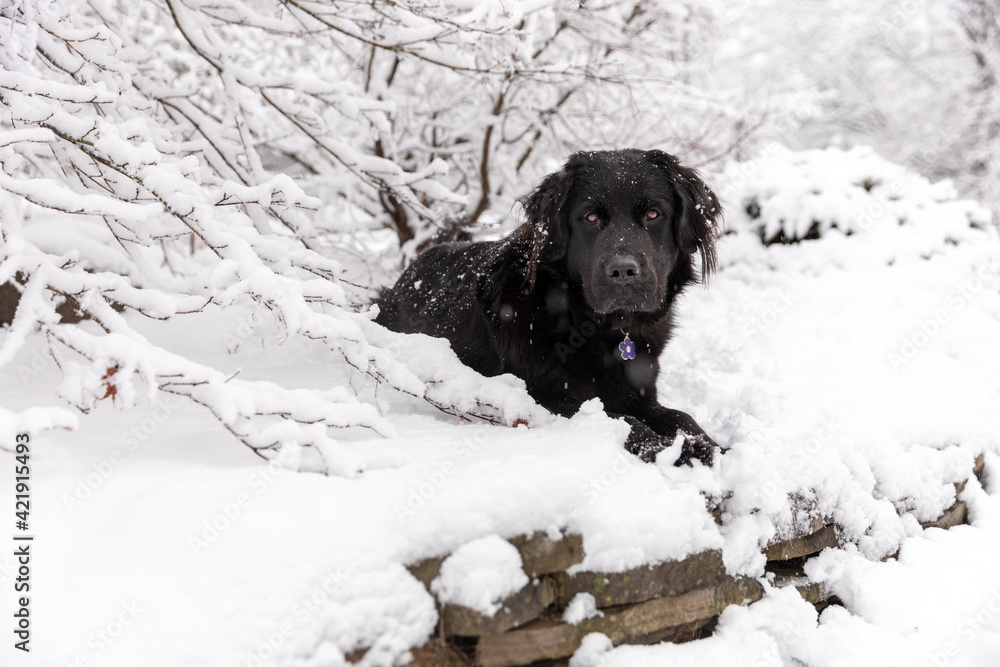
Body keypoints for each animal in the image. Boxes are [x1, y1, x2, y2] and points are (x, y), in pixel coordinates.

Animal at [376, 149, 720, 468]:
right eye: (591, 218)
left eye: (652, 213)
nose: (623, 271)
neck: (579, 319)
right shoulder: (549, 399)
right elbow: (623, 420)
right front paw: (673, 452)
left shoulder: (641, 393)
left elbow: (680, 417)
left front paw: (710, 447)